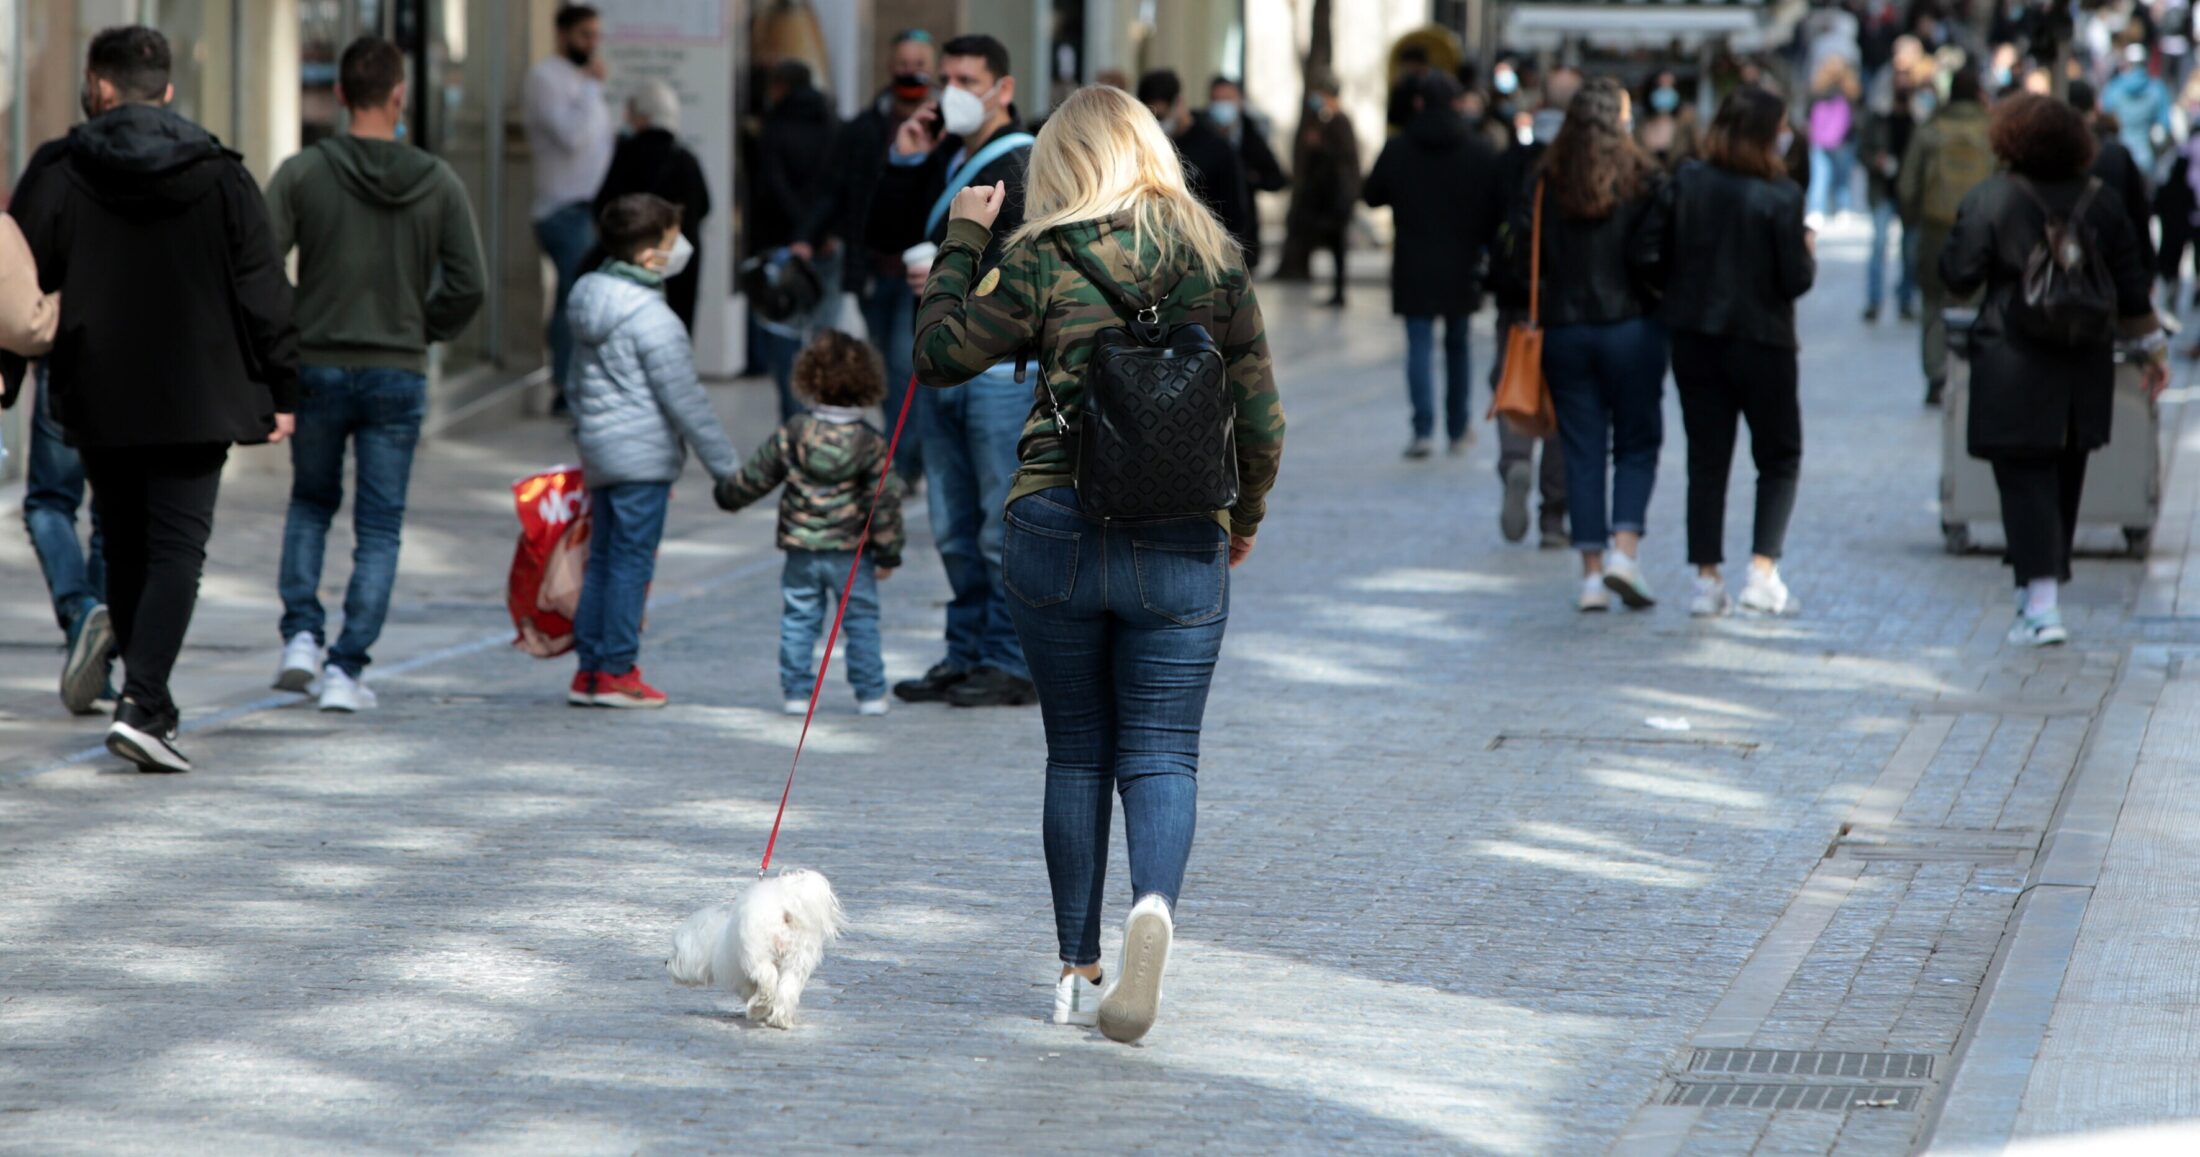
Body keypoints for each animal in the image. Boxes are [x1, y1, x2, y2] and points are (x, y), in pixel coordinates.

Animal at [664, 871, 844, 1033]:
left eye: (676, 953)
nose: (665, 962)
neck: (714, 940)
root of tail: (784, 912)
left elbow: (750, 989)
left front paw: (761, 1010)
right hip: (797, 960)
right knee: (788, 989)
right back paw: (780, 1019)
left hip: (758, 954)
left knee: (768, 978)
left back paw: (759, 1007)